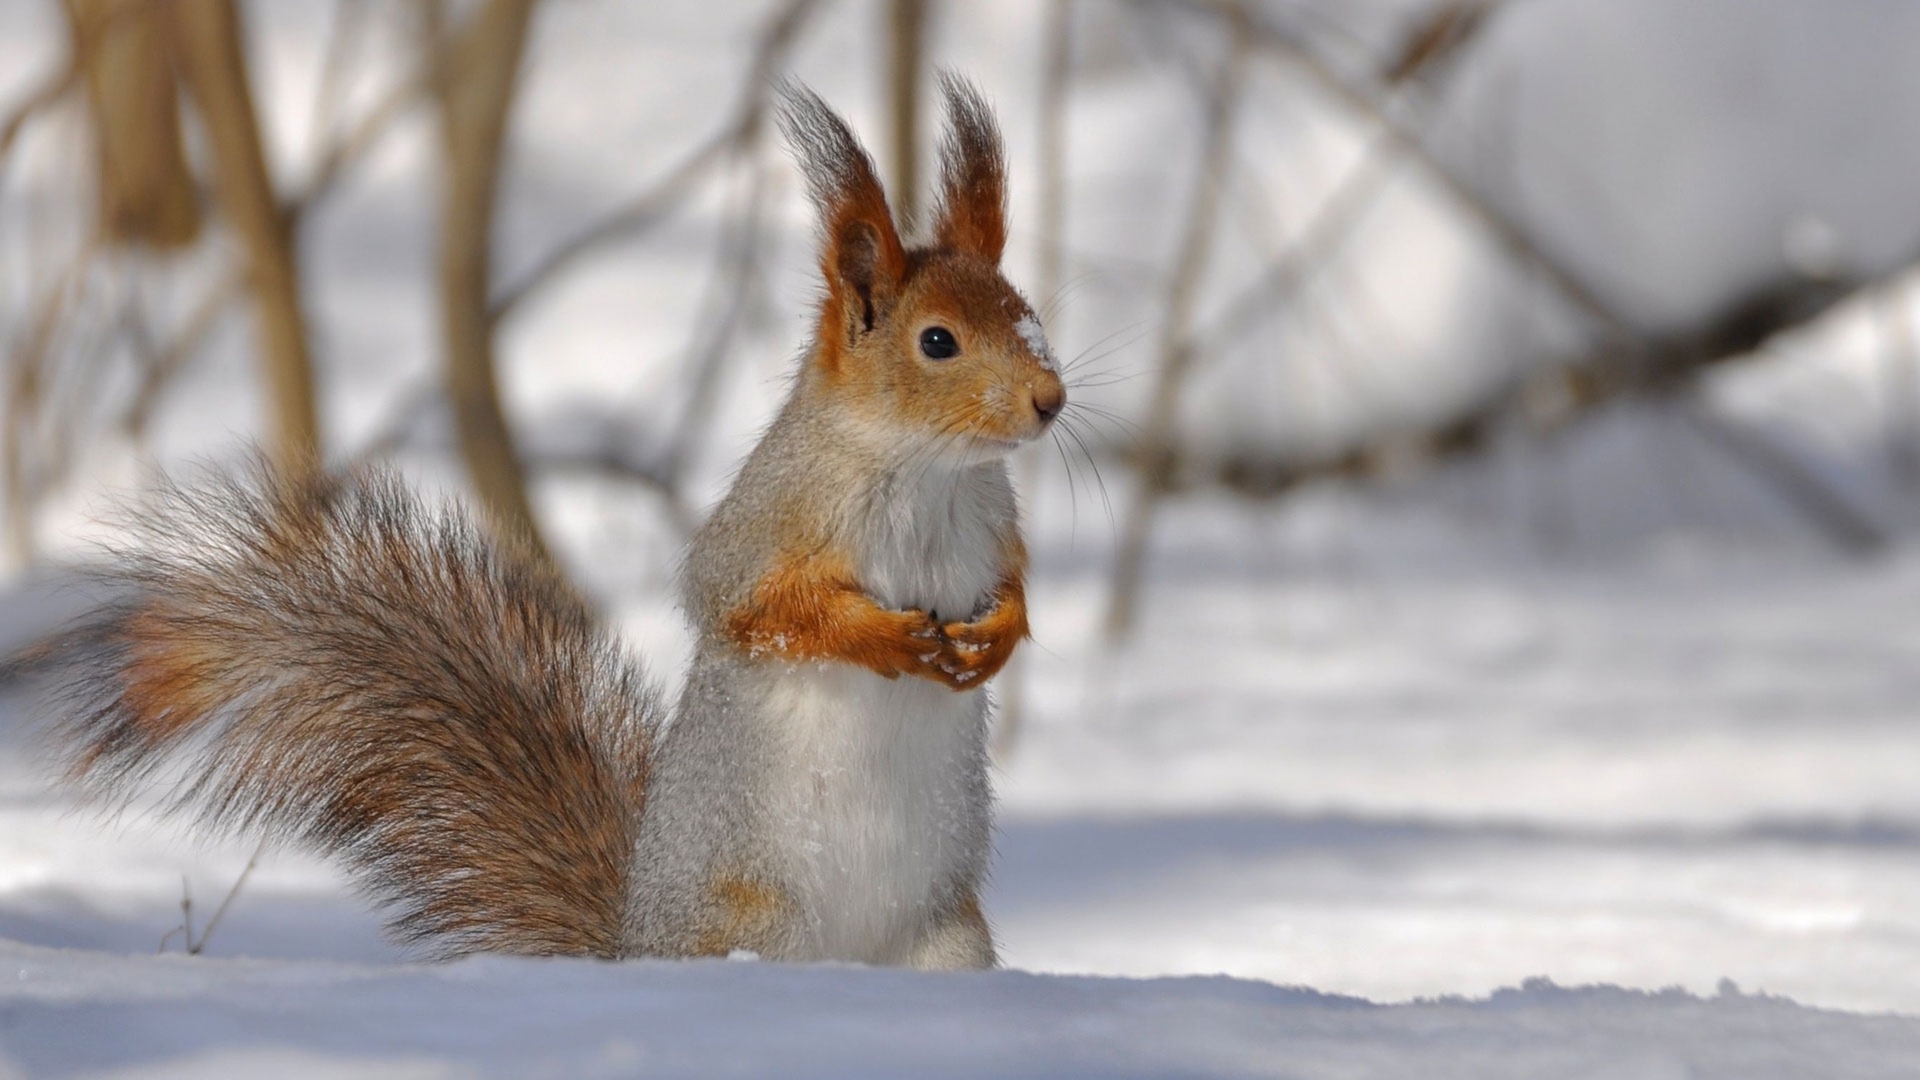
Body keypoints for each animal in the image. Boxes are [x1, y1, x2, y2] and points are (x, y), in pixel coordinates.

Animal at [26, 77, 1067, 968]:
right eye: (937, 341)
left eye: (1029, 314)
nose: (1051, 401)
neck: (927, 472)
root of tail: (634, 947)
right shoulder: (767, 522)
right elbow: (752, 608)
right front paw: (888, 638)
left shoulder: (993, 523)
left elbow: (1013, 585)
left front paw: (999, 635)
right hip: (759, 921)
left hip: (948, 939)